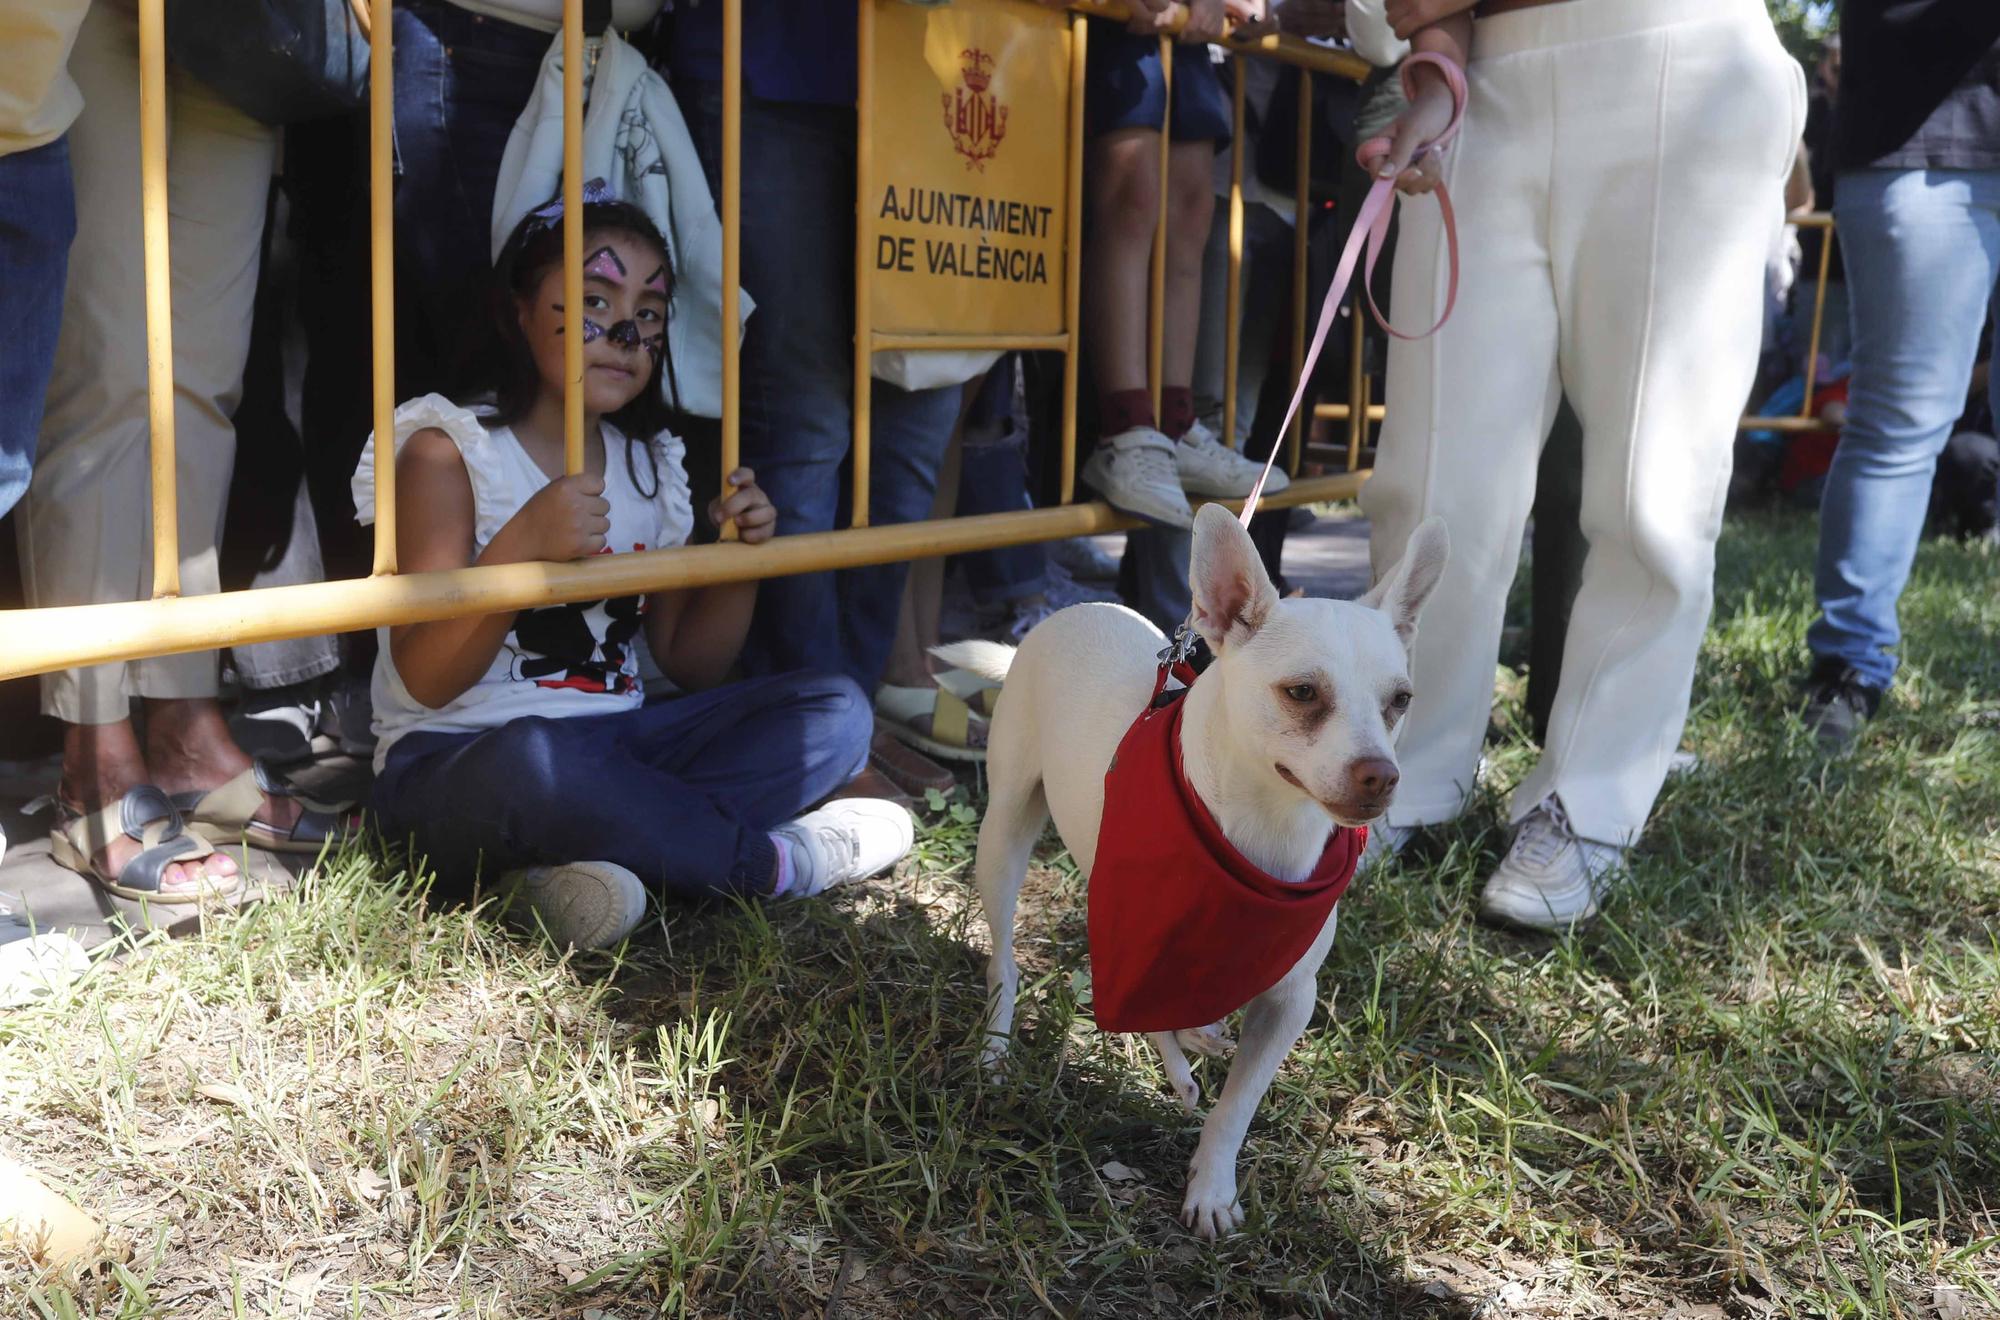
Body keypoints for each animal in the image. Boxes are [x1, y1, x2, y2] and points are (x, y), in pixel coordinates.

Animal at [928, 502, 1448, 1240]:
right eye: (1302, 692)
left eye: (1400, 700)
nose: (1382, 774)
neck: (1262, 835)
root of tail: (1073, 611)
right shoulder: (1133, 936)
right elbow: (1149, 1017)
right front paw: (1181, 1070)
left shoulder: (1290, 1000)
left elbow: (1236, 1105)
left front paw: (1212, 1185)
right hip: (1005, 833)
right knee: (1004, 959)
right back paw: (997, 1048)